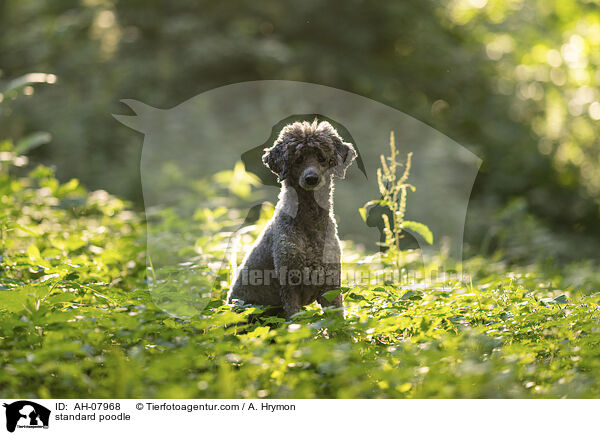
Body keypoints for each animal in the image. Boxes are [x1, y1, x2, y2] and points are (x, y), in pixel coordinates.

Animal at [226, 120, 356, 320]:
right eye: (298, 159)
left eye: (321, 157)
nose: (311, 178)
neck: (309, 223)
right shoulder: (290, 286)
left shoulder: (331, 285)